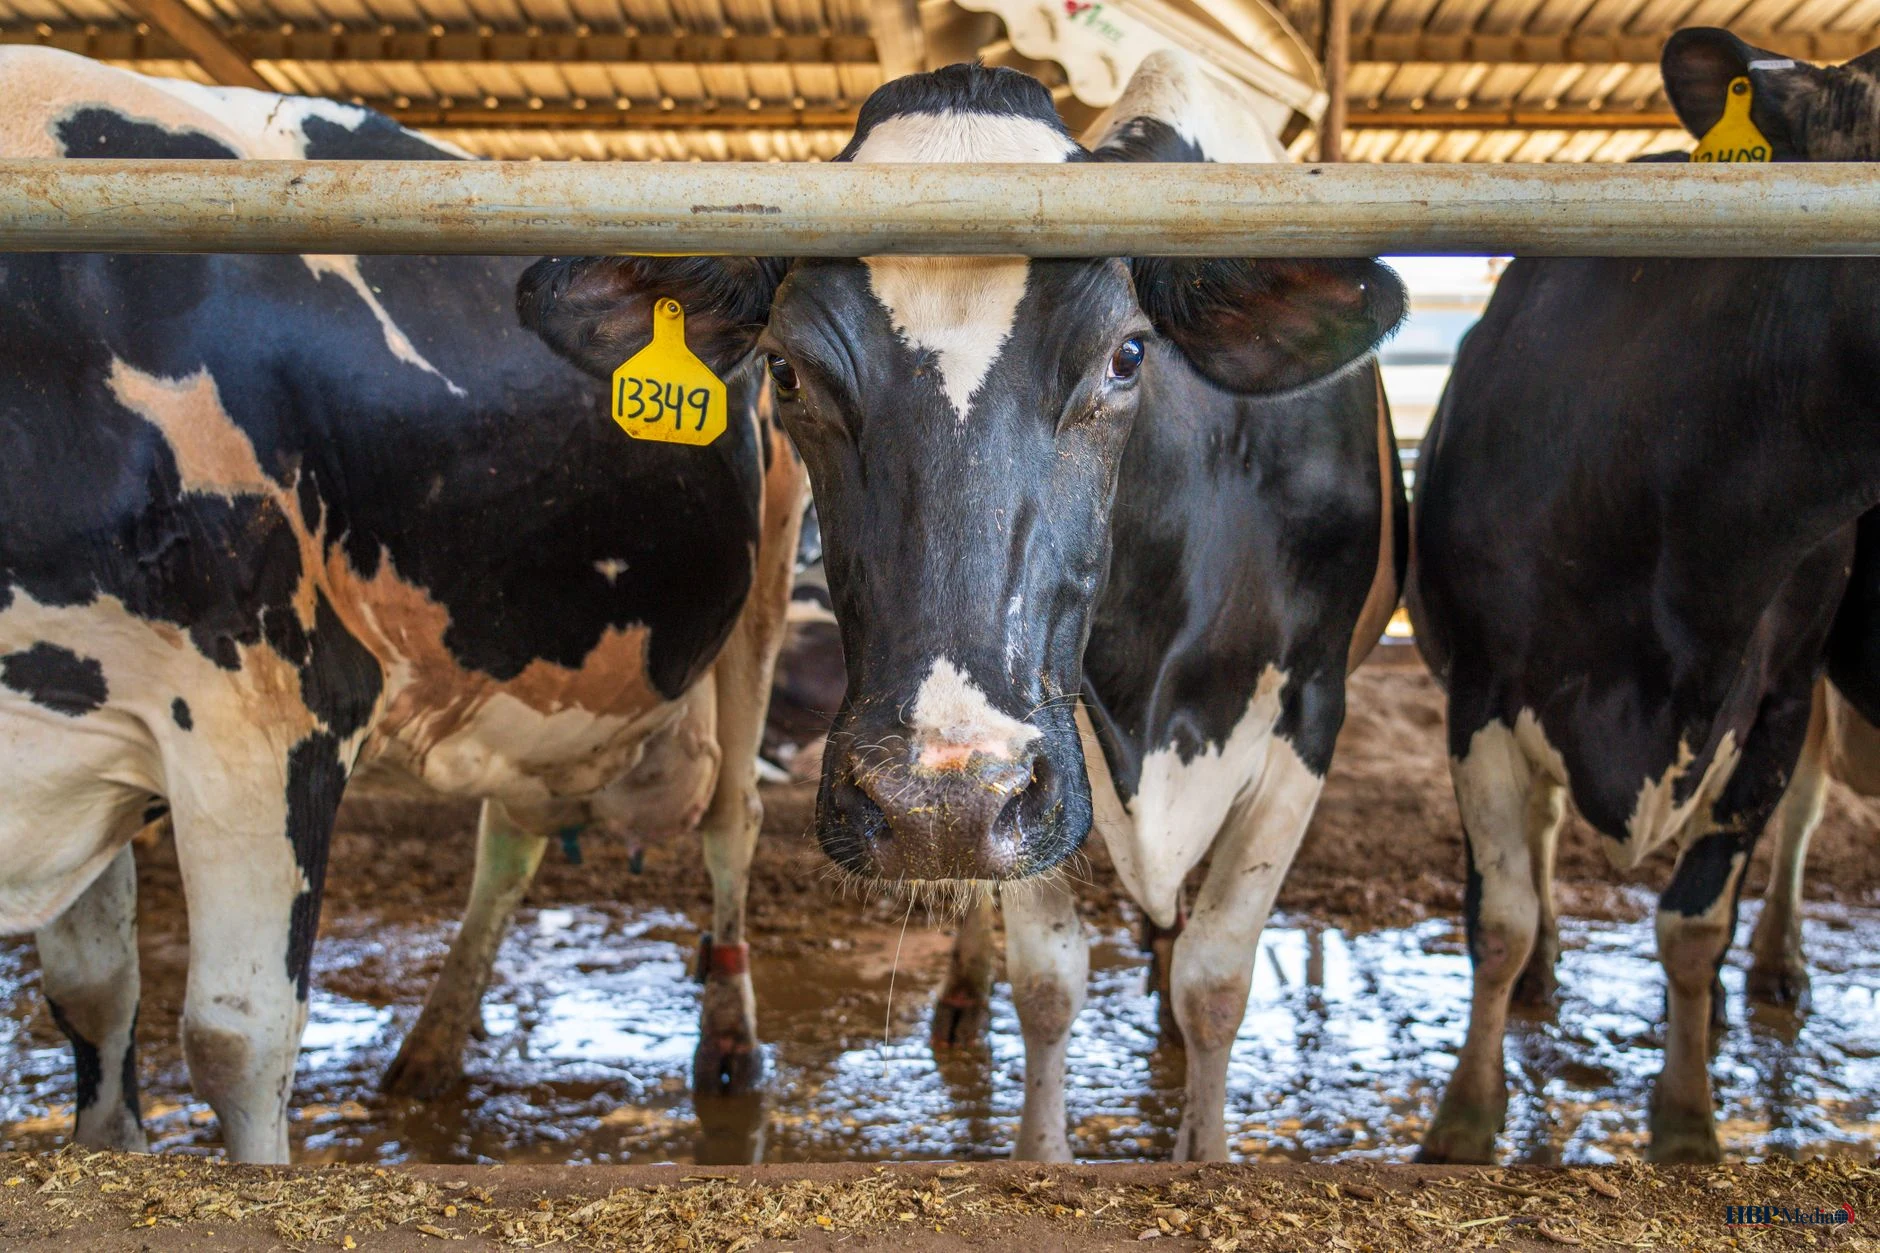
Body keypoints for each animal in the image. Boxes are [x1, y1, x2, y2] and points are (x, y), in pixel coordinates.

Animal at [0, 48, 804, 1163]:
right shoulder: (83, 725)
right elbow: (94, 993)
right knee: (511, 834)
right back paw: (430, 1045)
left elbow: (235, 1036)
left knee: (734, 817)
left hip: (763, 584)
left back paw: (728, 1045)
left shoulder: (268, 706)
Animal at [517, 50, 1406, 1160]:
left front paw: (1200, 1153)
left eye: (1126, 355)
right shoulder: (1050, 751)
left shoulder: (1307, 715)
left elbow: (1214, 979)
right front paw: (1042, 1152)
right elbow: (1050, 980)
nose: (935, 798)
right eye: (785, 369)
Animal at [1409, 27, 1880, 1165]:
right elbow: (1499, 916)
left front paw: (1687, 1120)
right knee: (1536, 849)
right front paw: (1464, 1117)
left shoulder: (1774, 699)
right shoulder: (1481, 692)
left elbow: (1691, 923)